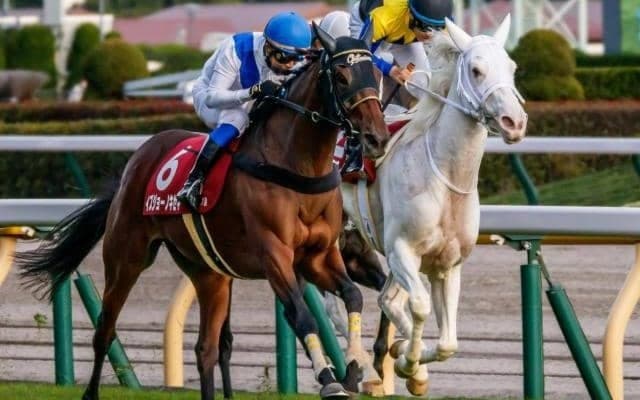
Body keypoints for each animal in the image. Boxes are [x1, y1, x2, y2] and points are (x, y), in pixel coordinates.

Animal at [15, 26, 389, 400]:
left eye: (375, 74)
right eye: (341, 76)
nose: (376, 138)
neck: (297, 166)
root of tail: (135, 162)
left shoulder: (318, 256)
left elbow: (353, 296)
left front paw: (355, 368)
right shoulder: (274, 254)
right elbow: (301, 315)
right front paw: (330, 380)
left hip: (208, 272)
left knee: (206, 347)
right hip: (126, 258)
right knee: (105, 331)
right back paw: (91, 390)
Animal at [338, 15, 528, 395]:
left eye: (512, 68)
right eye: (476, 70)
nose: (514, 123)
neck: (443, 178)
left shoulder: (447, 263)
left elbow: (447, 342)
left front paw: (409, 363)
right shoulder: (401, 250)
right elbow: (419, 305)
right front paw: (408, 362)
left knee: (383, 299)